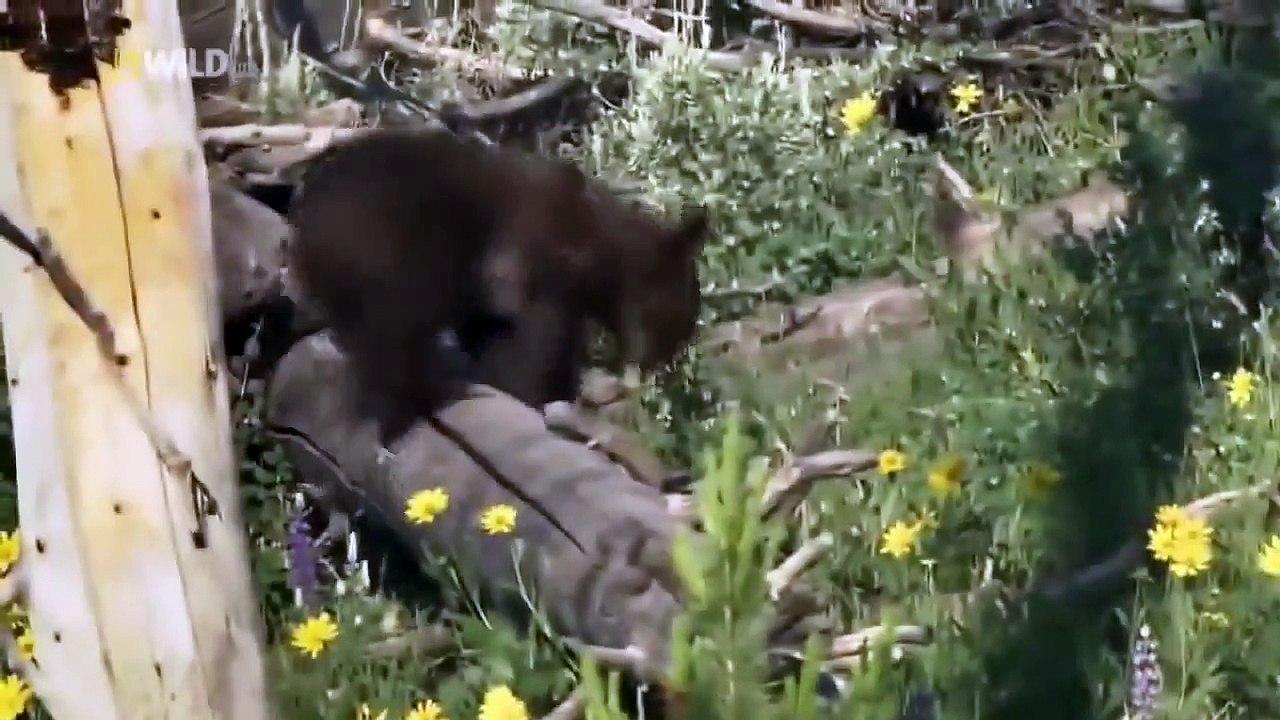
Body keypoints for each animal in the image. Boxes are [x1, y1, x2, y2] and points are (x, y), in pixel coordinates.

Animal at [286, 127, 709, 445]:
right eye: (680, 321)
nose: (660, 367)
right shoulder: (534, 271)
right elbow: (539, 346)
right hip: (404, 248)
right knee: (395, 332)